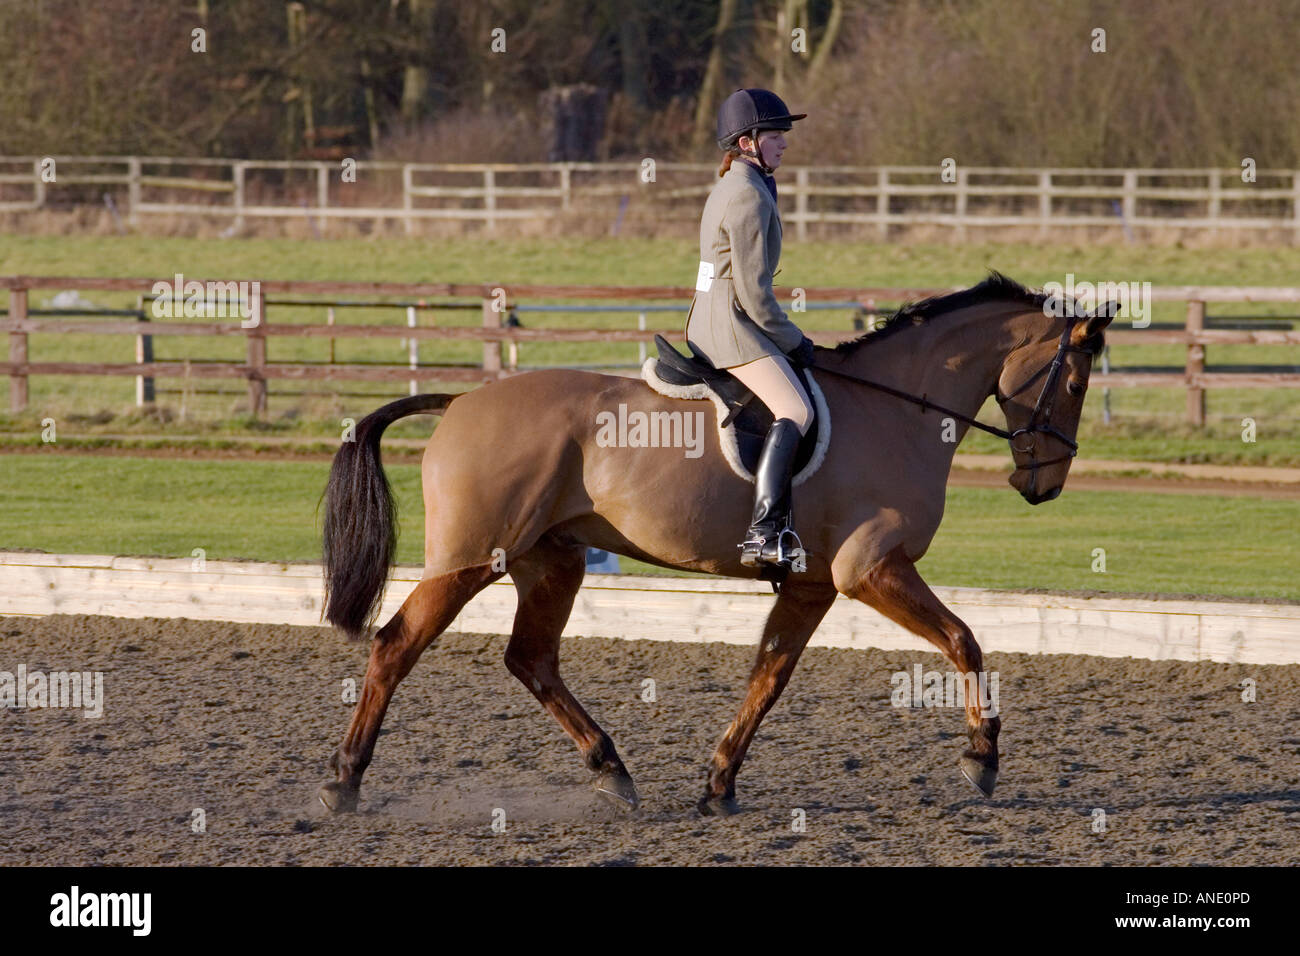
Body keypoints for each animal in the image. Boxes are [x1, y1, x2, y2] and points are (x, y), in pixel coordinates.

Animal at [317, 272, 1113, 816]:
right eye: (1075, 382)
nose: (1044, 484)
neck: (901, 410)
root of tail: (461, 401)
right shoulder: (870, 570)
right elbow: (964, 641)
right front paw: (982, 756)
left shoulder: (811, 585)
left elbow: (769, 677)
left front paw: (720, 781)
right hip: (470, 560)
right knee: (395, 647)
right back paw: (344, 781)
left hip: (554, 560)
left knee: (531, 659)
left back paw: (611, 770)